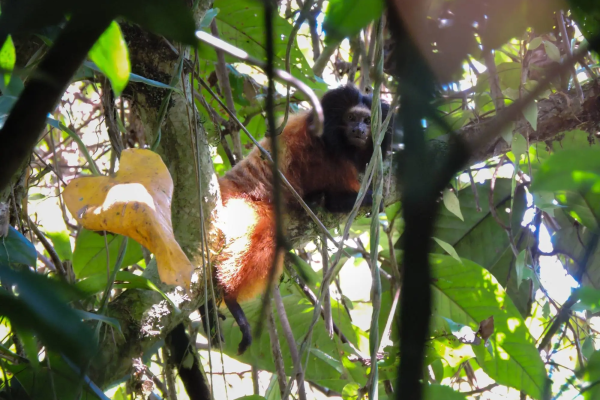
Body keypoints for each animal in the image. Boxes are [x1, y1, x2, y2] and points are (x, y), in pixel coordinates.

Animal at [206, 84, 393, 355]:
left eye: (368, 121)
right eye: (351, 118)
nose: (359, 130)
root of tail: (225, 185)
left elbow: (333, 200)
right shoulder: (319, 153)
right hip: (240, 207)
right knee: (261, 238)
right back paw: (231, 300)